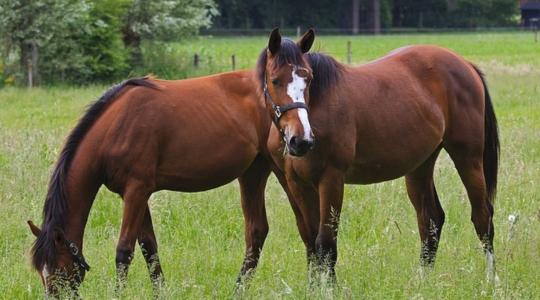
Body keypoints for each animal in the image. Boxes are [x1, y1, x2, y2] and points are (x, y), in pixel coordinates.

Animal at [260, 29, 500, 282]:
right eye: (275, 80)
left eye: (308, 79)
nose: (301, 140)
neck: (317, 106)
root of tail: (465, 64)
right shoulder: (297, 183)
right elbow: (310, 243)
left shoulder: (331, 179)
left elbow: (326, 244)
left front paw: (329, 288)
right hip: (420, 166)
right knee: (430, 219)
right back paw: (422, 282)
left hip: (468, 158)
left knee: (483, 216)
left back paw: (491, 280)